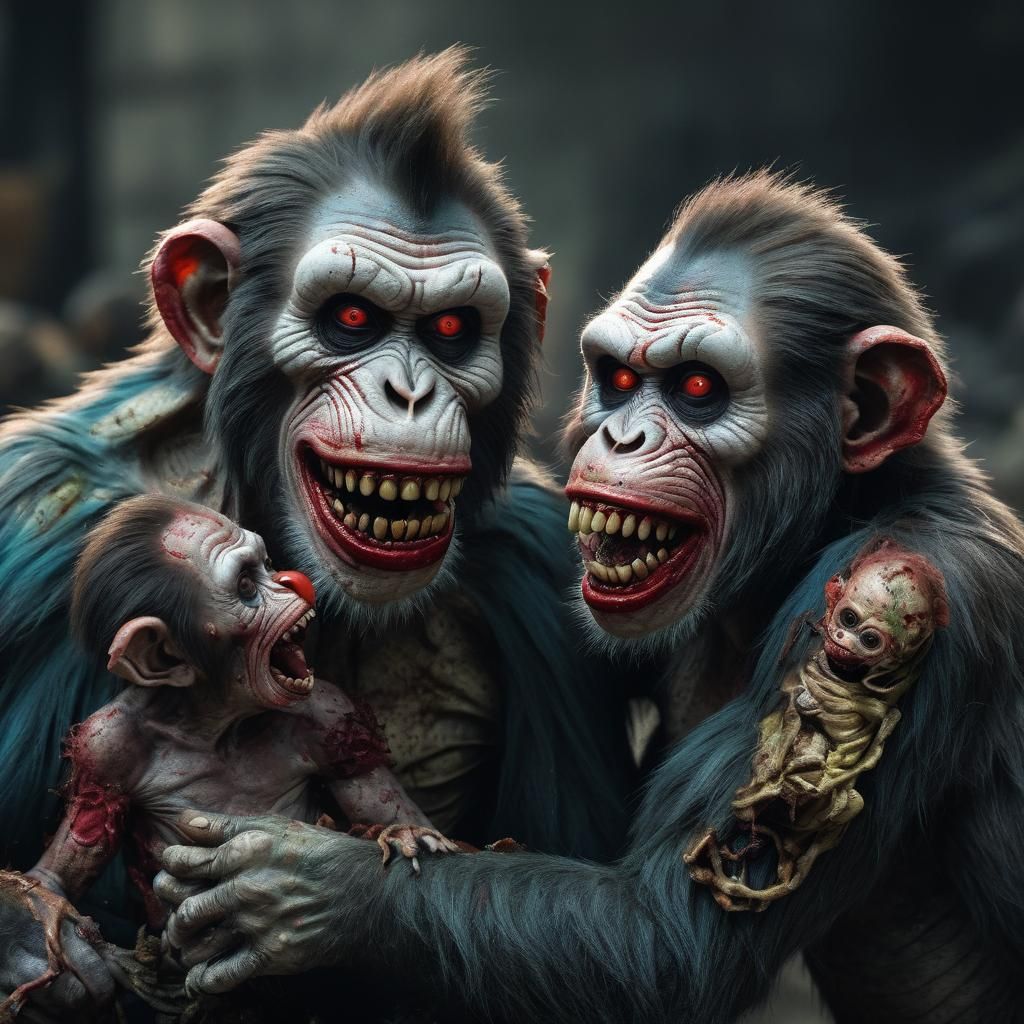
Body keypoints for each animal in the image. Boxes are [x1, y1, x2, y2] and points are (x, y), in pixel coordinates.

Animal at [0, 494, 455, 1020]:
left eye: (269, 564)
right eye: (244, 588)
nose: (293, 582)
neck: (216, 723)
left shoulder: (331, 714)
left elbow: (399, 815)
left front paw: (403, 835)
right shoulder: (102, 747)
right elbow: (56, 873)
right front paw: (35, 946)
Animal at [156, 171, 1024, 1024]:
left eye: (698, 387)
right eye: (620, 380)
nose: (621, 435)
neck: (835, 520)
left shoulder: (903, 596)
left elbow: (665, 941)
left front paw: (302, 883)